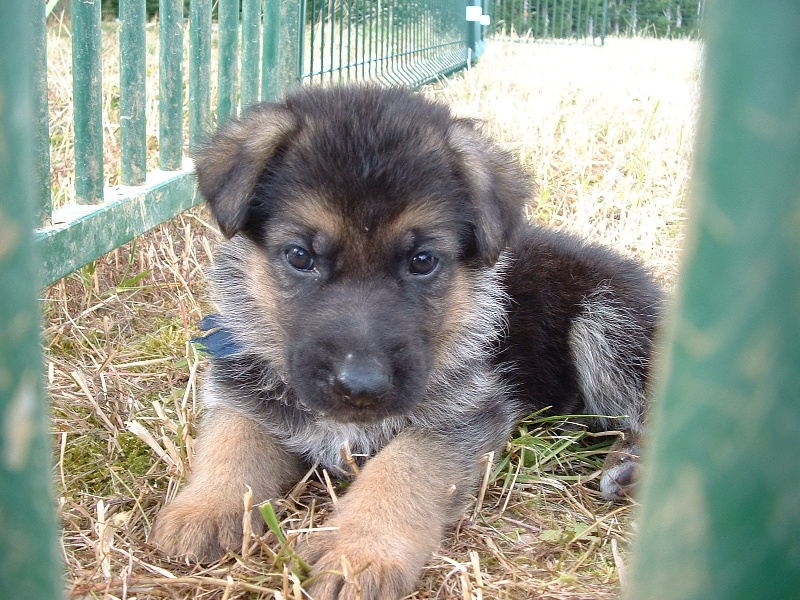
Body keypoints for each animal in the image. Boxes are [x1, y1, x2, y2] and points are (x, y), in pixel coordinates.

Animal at [151, 85, 661, 599]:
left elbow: (400, 471)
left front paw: (358, 553)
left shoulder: (463, 416)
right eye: (299, 256)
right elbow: (232, 440)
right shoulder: (243, 387)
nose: (361, 387)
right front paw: (203, 508)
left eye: (422, 261)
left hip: (610, 322)